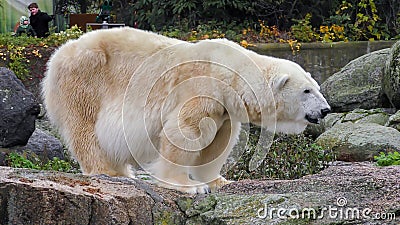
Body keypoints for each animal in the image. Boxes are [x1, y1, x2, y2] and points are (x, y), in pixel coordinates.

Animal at [41, 27, 332, 193]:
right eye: (307, 91)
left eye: (316, 87)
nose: (326, 110)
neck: (230, 72)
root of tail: (58, 55)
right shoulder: (202, 88)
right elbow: (184, 132)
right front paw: (189, 187)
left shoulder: (225, 109)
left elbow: (218, 144)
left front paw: (218, 181)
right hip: (84, 82)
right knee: (86, 129)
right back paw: (110, 171)